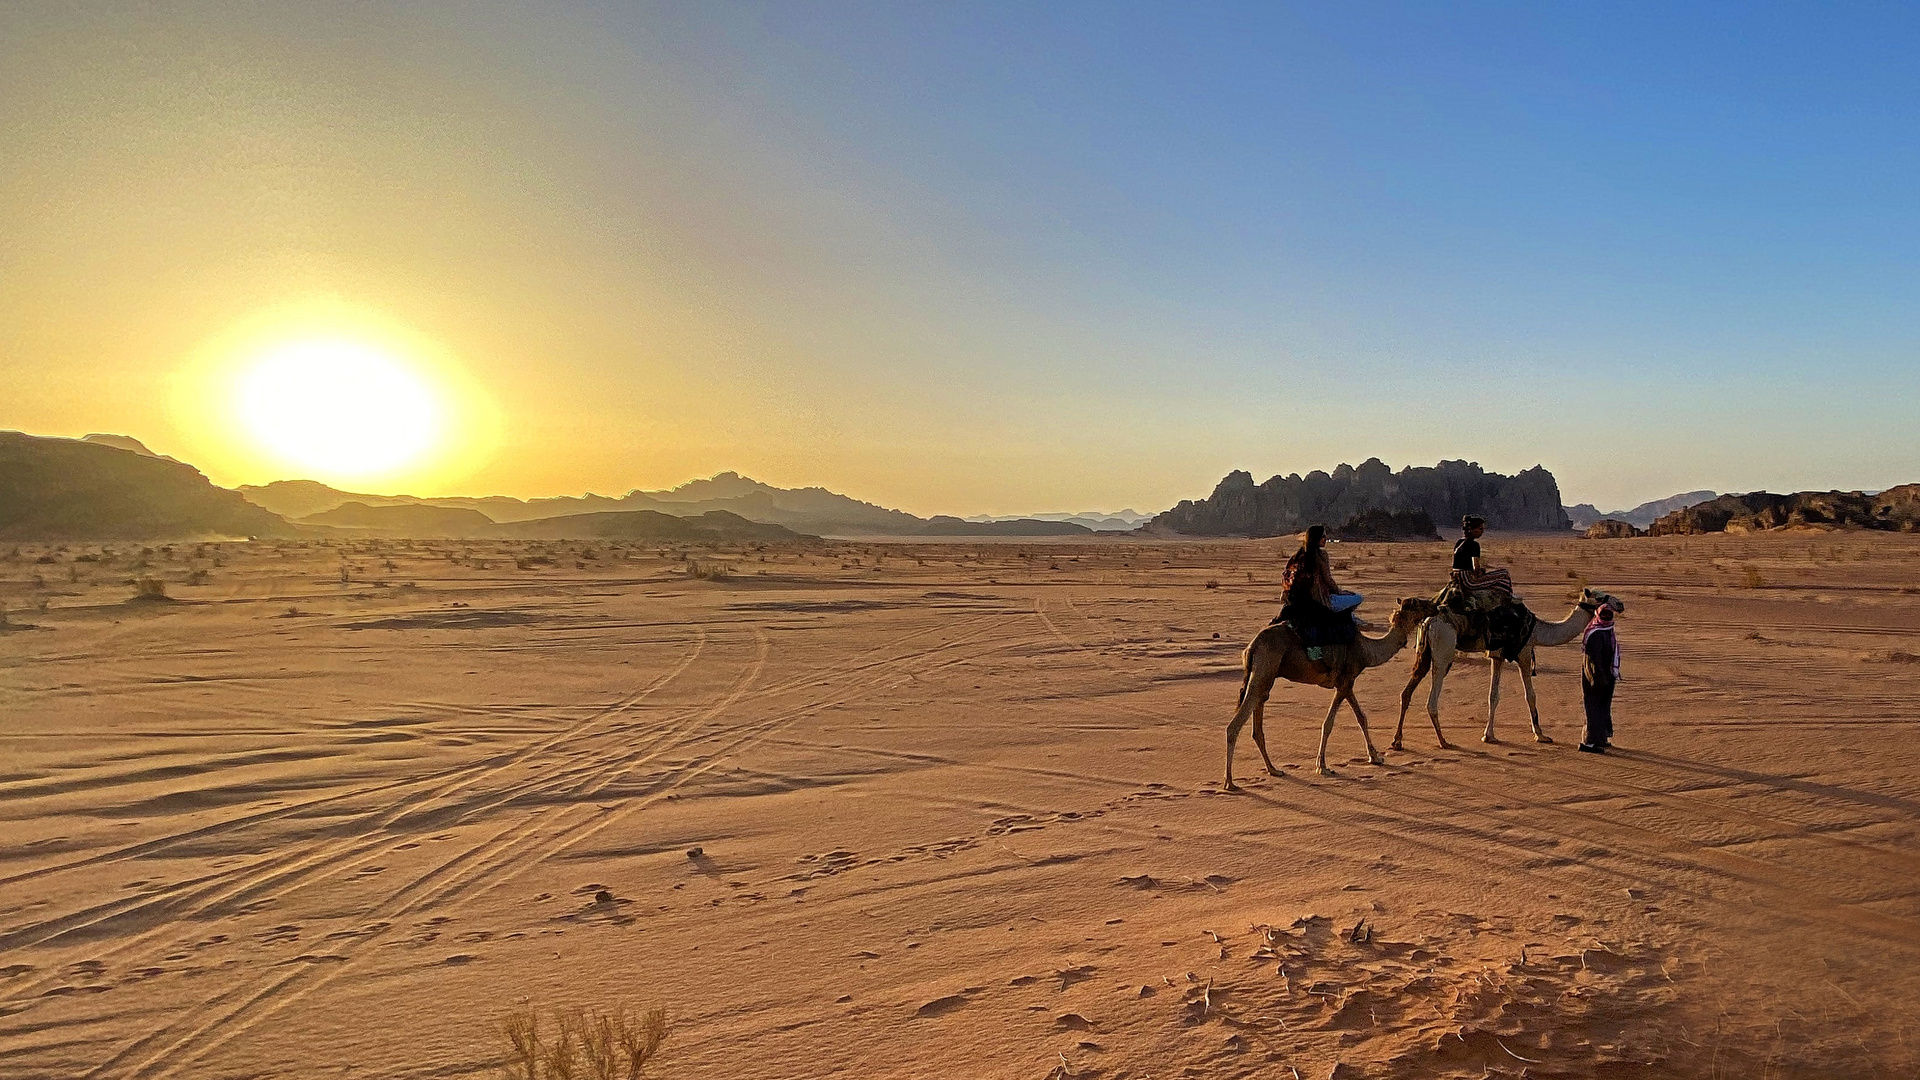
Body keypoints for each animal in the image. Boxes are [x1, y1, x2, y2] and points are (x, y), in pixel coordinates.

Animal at [1228, 591, 1443, 787]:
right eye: (1418, 603)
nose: (1437, 606)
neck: (1366, 651)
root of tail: (1252, 647)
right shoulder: (1344, 682)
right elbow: (1329, 723)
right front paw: (1322, 766)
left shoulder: (1347, 683)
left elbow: (1361, 718)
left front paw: (1375, 757)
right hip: (1264, 668)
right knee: (1235, 724)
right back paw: (1230, 783)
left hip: (1266, 676)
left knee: (1258, 720)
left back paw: (1273, 770)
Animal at [1397, 580, 1620, 749]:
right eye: (1599, 597)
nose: (1619, 604)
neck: (1538, 630)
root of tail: (1428, 621)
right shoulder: (1524, 653)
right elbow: (1530, 695)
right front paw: (1541, 735)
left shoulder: (1497, 657)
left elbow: (1493, 696)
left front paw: (1489, 735)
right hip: (1443, 651)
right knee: (1432, 700)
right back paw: (1443, 741)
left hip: (1424, 653)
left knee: (1406, 692)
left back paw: (1397, 741)